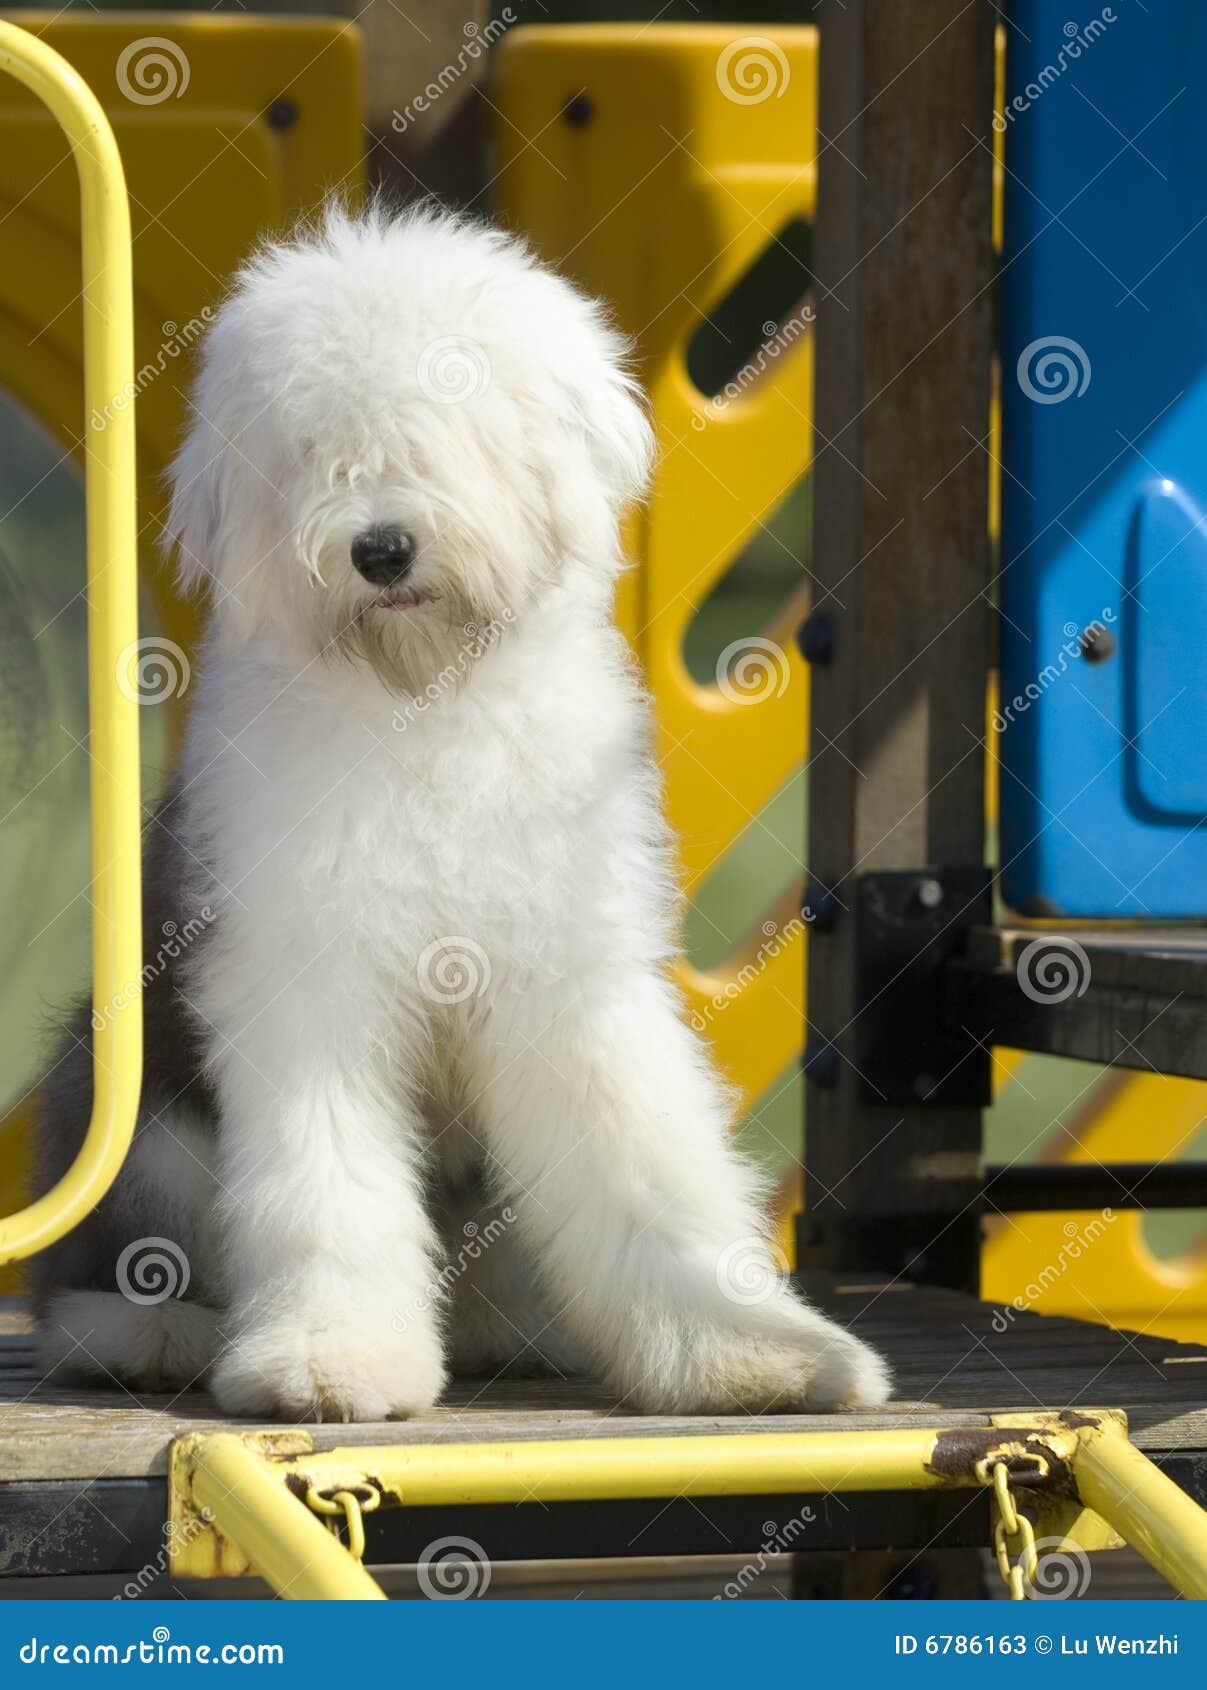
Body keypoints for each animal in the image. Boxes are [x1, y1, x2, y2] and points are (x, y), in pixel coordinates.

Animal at [35, 211, 885, 1426]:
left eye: (449, 429)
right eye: (316, 450)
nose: (381, 548)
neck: (426, 702)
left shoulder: (573, 975)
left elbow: (645, 1167)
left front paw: (753, 1355)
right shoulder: (304, 978)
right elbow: (325, 1181)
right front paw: (330, 1363)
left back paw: (517, 1327)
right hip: (127, 1101)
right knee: (97, 1277)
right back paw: (153, 1333)